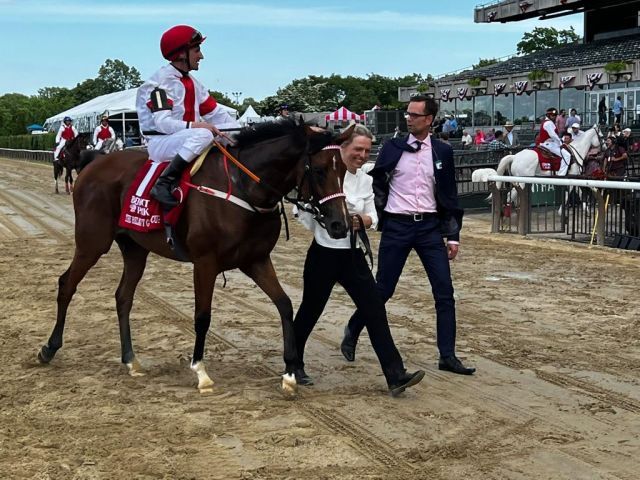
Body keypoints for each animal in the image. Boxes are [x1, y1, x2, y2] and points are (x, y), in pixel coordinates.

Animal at [37, 119, 352, 398]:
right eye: (319, 170)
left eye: (346, 170)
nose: (340, 225)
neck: (242, 187)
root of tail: (93, 165)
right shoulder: (205, 262)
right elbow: (202, 316)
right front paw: (201, 371)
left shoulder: (256, 260)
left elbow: (285, 305)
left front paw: (289, 375)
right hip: (91, 243)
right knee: (66, 284)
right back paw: (49, 348)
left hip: (135, 249)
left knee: (123, 297)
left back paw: (130, 359)